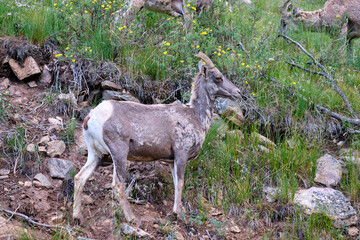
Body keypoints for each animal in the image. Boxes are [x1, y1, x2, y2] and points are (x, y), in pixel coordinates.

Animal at [71, 51, 240, 222]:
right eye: (218, 77)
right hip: (119, 154)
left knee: (80, 178)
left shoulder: (172, 161)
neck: (196, 116)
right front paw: (177, 213)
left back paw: (77, 216)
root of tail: (92, 116)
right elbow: (180, 183)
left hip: (97, 155)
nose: (238, 92)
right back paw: (131, 218)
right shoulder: (181, 156)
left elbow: (175, 184)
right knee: (117, 184)